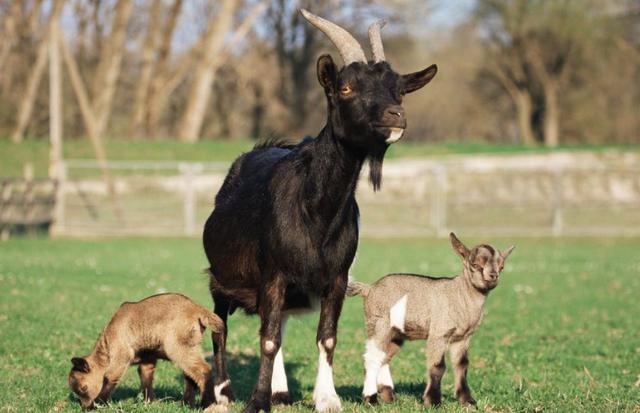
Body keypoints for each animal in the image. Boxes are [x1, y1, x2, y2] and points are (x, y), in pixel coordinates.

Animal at [202, 9, 438, 412]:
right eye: (346, 89)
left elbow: (324, 337)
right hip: (220, 278)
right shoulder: (274, 273)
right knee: (222, 327)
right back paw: (223, 393)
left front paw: (326, 398)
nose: (396, 115)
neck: (316, 211)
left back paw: (281, 391)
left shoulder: (337, 278)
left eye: (400, 89)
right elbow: (267, 339)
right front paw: (257, 401)